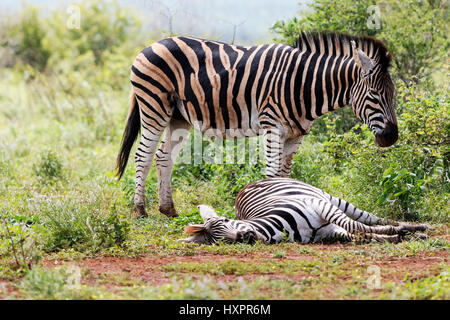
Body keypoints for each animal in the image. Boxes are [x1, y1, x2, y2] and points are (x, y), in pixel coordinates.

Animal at [115, 31, 398, 218]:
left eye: (393, 94)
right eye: (374, 95)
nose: (392, 137)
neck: (303, 85)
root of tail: (151, 44)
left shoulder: (296, 135)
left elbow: (285, 175)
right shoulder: (272, 125)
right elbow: (272, 173)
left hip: (178, 117)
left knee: (163, 157)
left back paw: (168, 209)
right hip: (154, 106)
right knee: (143, 156)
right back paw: (139, 210)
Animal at [178, 178, 426, 245]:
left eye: (227, 220)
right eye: (221, 242)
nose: (244, 236)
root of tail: (247, 185)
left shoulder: (320, 207)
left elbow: (356, 226)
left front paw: (398, 231)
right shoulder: (328, 232)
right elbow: (359, 234)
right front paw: (394, 237)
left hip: (330, 199)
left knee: (369, 217)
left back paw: (415, 226)